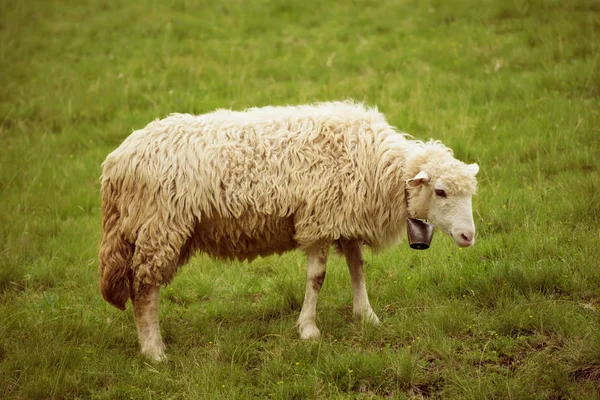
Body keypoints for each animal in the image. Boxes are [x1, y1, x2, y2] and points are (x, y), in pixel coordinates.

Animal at [99, 99, 482, 360]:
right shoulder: (318, 220)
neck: (376, 166)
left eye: (469, 193)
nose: (468, 237)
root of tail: (117, 162)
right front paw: (308, 330)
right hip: (159, 227)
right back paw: (154, 351)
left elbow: (357, 268)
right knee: (144, 288)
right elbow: (317, 277)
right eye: (441, 191)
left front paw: (367, 316)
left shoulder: (344, 218)